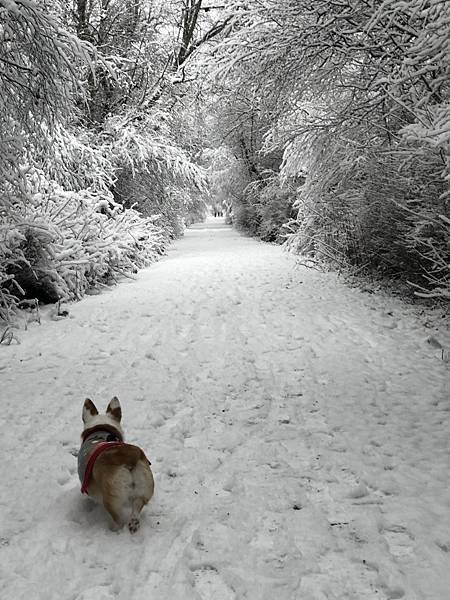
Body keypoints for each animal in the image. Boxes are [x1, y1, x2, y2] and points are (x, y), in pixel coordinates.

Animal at [78, 396, 154, 532]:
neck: (100, 429)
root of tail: (128, 458)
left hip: (112, 500)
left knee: (118, 519)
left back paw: (114, 529)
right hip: (144, 488)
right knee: (136, 508)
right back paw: (134, 524)